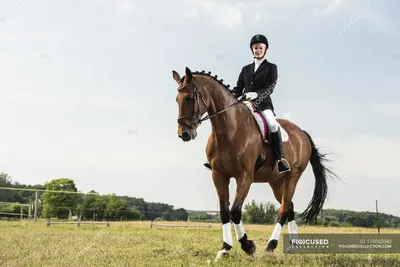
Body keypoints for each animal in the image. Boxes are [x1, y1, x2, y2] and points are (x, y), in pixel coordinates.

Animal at [173, 67, 336, 262]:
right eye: (177, 100)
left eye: (190, 98)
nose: (184, 134)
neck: (229, 129)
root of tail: (301, 133)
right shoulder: (218, 174)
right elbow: (224, 211)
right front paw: (225, 249)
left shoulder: (245, 176)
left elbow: (235, 211)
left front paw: (248, 246)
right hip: (276, 181)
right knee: (289, 207)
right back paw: (291, 246)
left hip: (292, 176)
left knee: (283, 210)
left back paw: (270, 246)